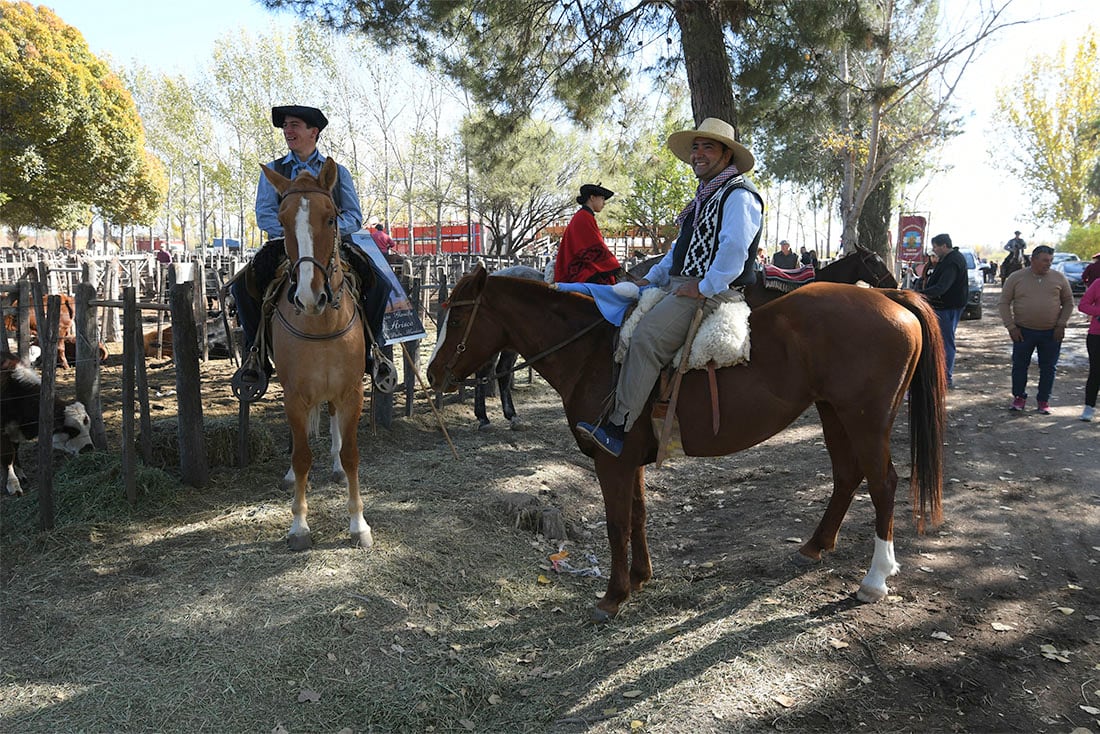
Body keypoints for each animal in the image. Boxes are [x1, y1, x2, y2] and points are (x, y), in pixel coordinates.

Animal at [0, 352, 93, 499]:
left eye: (87, 427)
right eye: (71, 430)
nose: (89, 449)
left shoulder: (15, 432)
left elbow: (15, 452)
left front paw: (21, 475)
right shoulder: (3, 431)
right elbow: (8, 455)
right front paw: (13, 486)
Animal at [261, 160, 374, 550]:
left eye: (331, 217)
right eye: (281, 221)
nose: (310, 297)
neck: (321, 323)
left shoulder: (352, 392)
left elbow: (352, 454)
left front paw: (358, 524)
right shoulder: (294, 396)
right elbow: (301, 456)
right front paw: (298, 526)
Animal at [429, 267, 946, 625]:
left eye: (459, 316)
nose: (434, 374)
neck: (594, 354)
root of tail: (888, 296)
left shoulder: (611, 463)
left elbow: (617, 523)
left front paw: (613, 596)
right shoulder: (629, 460)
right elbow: (637, 515)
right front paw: (640, 579)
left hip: (866, 421)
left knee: (883, 484)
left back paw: (875, 579)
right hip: (833, 414)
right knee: (846, 476)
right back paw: (815, 546)